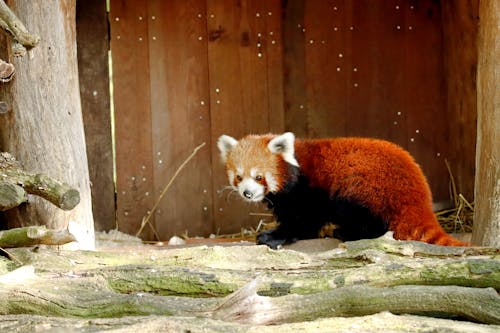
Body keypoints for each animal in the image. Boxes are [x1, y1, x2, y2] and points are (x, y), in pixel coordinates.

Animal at [217, 131, 466, 248]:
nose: (247, 193)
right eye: (239, 177)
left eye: (259, 177)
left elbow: (304, 221)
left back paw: (348, 232)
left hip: (364, 189)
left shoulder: (309, 191)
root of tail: (419, 195)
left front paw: (273, 236)